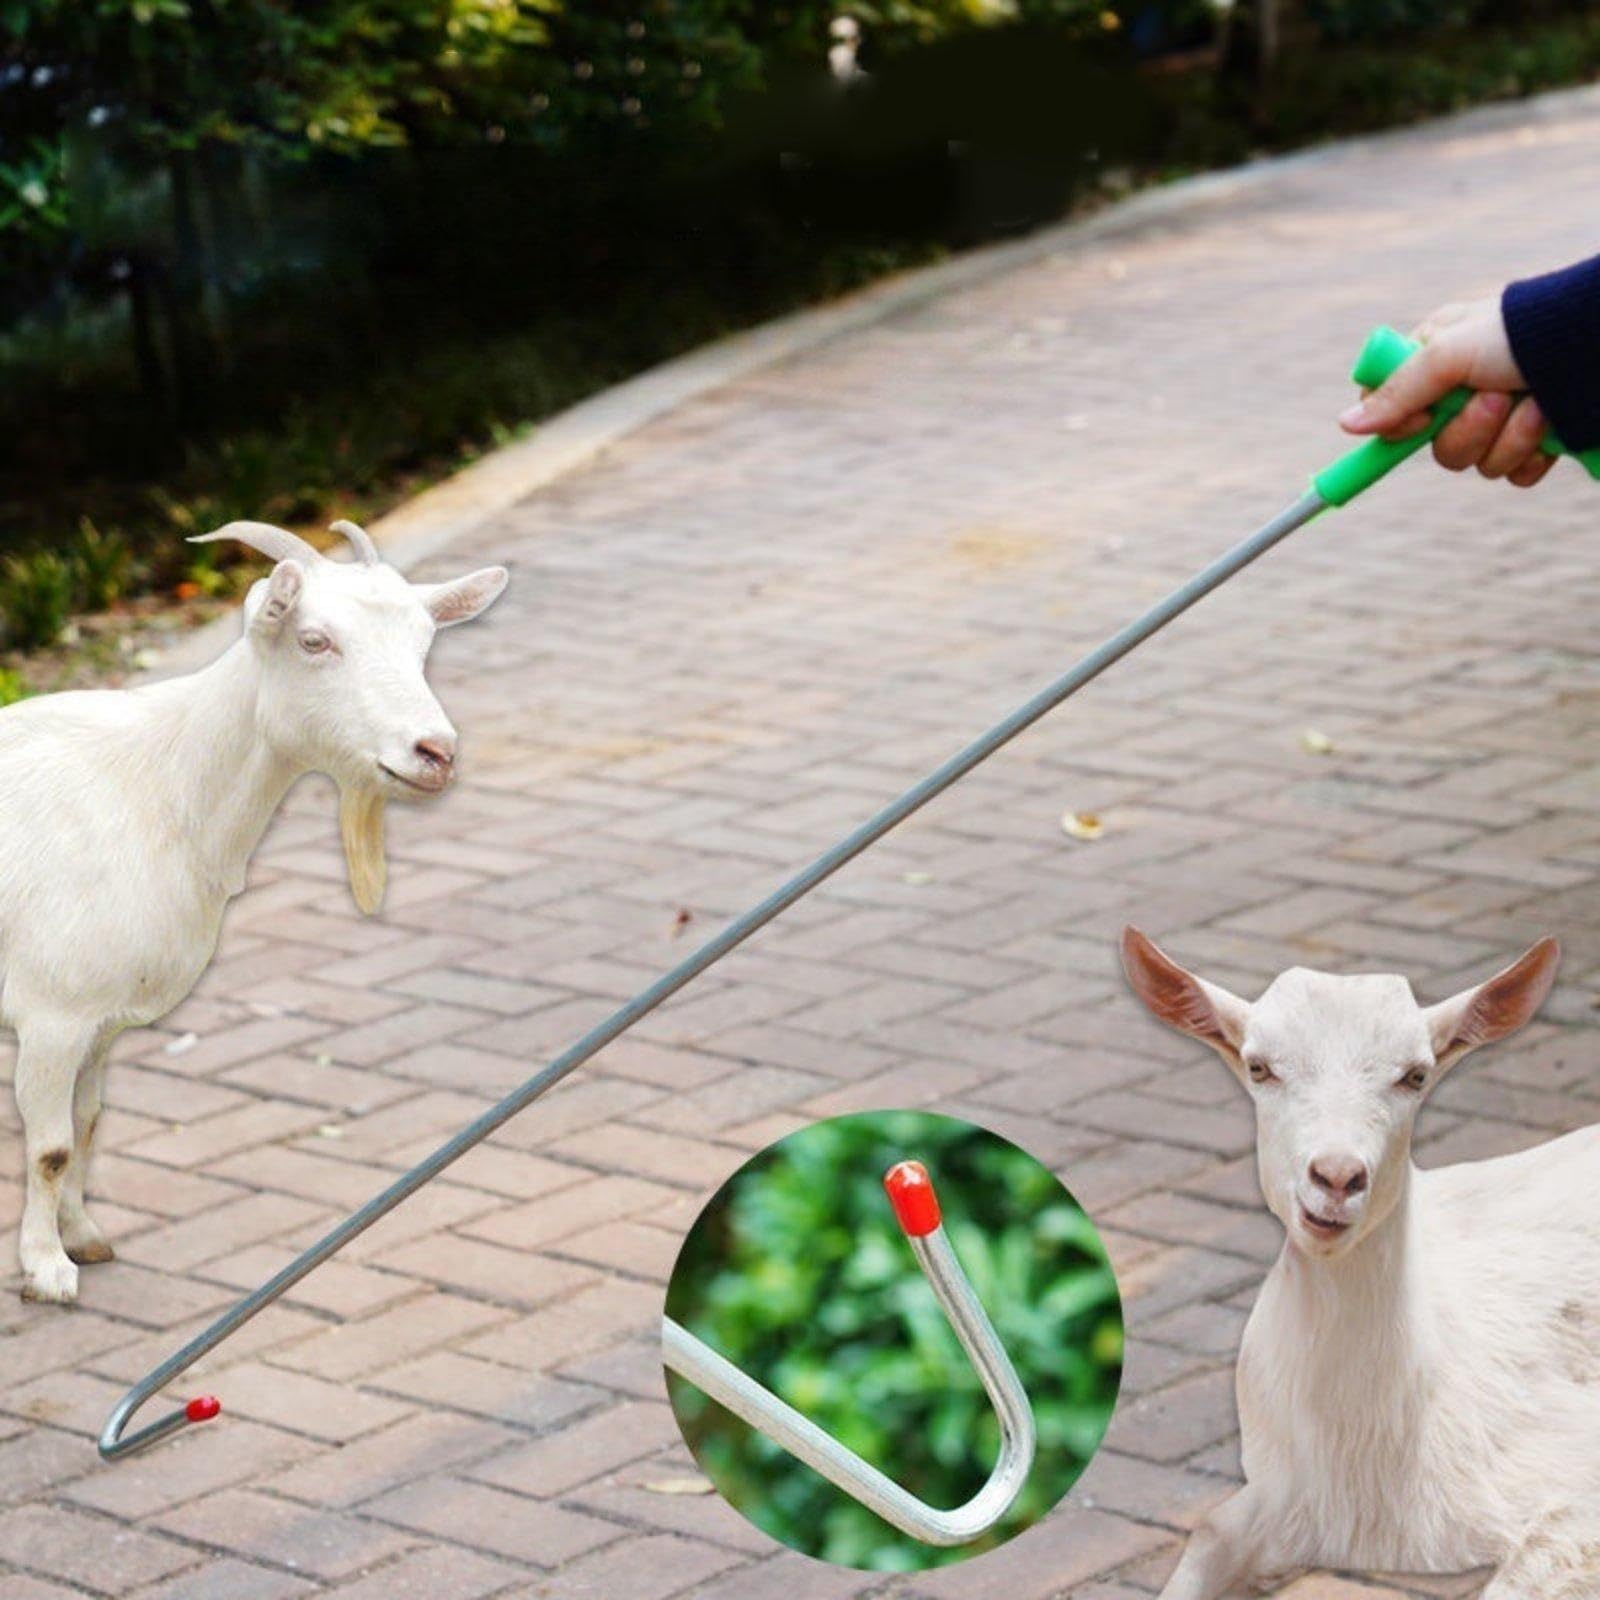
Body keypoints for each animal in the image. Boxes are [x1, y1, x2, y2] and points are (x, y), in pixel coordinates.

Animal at [1, 522, 506, 1303]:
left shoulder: (98, 1022)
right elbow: (51, 1147)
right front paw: (47, 1271)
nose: (435, 752)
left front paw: (82, 1236)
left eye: (425, 643)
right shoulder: (51, 1013)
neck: (162, 783)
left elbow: (86, 1124)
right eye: (314, 641)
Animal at [1120, 927, 1600, 1600]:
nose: (1338, 1176)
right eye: (1259, 1067)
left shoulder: (1572, 1495)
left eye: (1415, 1076)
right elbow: (1209, 1534)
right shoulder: (1280, 1497)